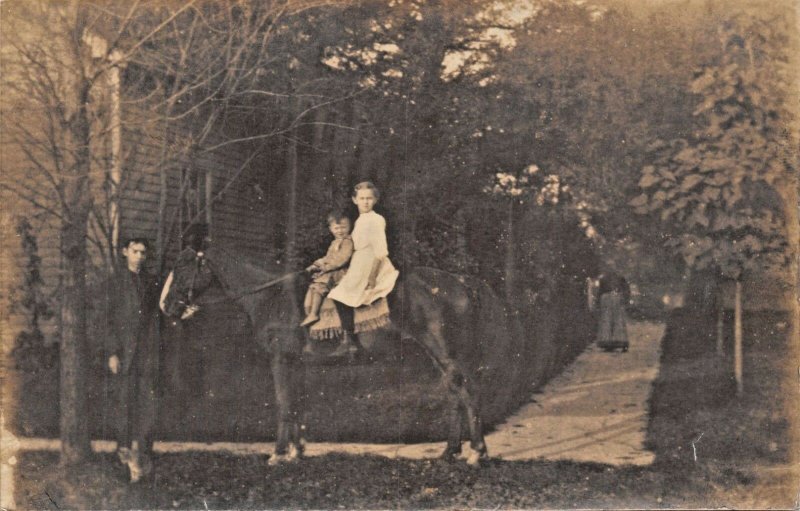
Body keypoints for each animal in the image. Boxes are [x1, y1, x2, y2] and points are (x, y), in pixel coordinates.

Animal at [166, 246, 520, 466]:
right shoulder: (295, 363)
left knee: (466, 391)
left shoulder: (280, 360)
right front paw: (296, 451)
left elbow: (283, 404)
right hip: (441, 353)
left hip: (443, 349)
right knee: (455, 393)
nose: (167, 307)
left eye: (182, 267)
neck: (271, 297)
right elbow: (295, 404)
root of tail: (461, 280)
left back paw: (476, 453)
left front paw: (278, 454)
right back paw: (449, 452)